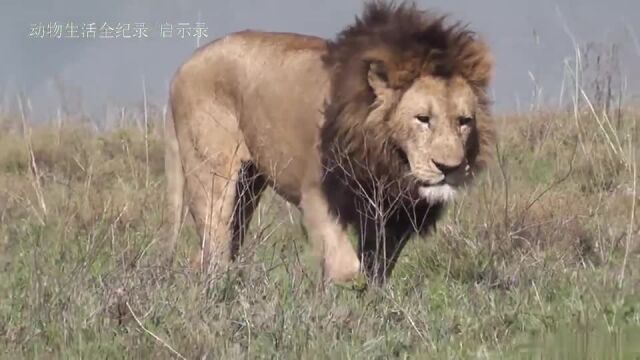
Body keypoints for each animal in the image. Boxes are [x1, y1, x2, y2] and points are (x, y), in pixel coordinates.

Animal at [164, 1, 496, 286]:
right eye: (423, 119)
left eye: (464, 121)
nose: (449, 168)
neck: (385, 160)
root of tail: (185, 64)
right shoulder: (317, 195)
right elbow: (346, 267)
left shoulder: (390, 217)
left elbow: (378, 271)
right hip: (211, 173)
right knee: (214, 243)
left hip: (248, 185)